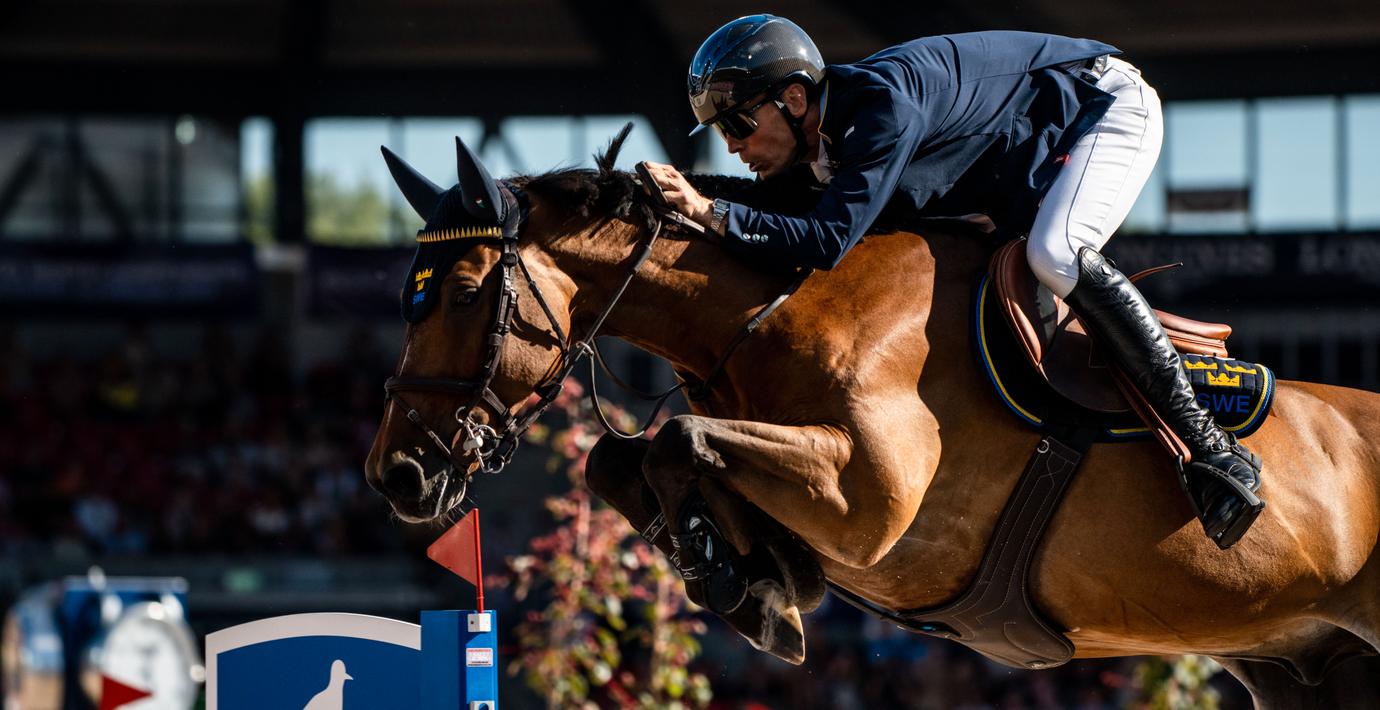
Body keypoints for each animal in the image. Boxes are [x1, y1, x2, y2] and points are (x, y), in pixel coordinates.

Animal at [364, 126, 1380, 708]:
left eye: (462, 293)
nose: (397, 474)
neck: (769, 312)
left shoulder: (872, 505)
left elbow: (678, 442)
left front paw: (748, 584)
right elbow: (621, 461)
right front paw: (753, 578)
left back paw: (1226, 476)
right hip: (1308, 671)